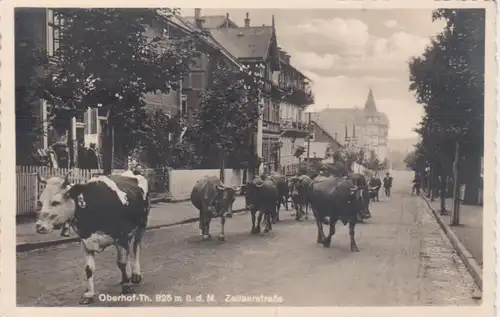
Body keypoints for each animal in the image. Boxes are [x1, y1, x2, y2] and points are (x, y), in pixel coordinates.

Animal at [35, 170, 149, 304]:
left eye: (55, 202)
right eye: (40, 202)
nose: (39, 226)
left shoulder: (122, 238)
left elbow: (121, 263)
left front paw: (127, 286)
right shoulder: (85, 242)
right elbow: (89, 269)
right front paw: (89, 294)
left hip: (141, 226)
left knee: (136, 248)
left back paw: (135, 275)